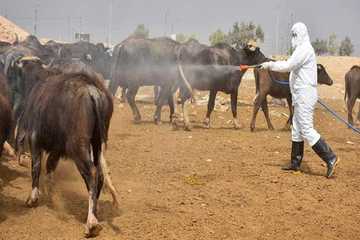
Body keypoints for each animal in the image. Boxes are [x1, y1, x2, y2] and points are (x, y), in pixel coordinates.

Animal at [14, 57, 118, 236]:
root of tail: (91, 91)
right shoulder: (57, 149)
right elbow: (49, 167)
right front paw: (50, 192)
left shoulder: (34, 139)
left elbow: (36, 167)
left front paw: (33, 198)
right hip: (97, 144)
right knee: (99, 175)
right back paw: (95, 212)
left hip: (78, 147)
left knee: (92, 173)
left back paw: (91, 222)